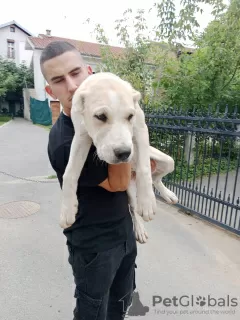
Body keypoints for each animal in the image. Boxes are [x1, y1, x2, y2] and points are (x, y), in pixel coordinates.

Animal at [59, 72, 177, 242]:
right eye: (100, 116)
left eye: (130, 116)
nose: (124, 153)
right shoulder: (81, 136)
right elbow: (69, 172)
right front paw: (67, 209)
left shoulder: (141, 128)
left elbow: (145, 168)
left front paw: (147, 202)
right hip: (129, 189)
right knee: (133, 208)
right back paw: (140, 229)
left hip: (169, 161)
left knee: (155, 177)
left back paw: (167, 195)